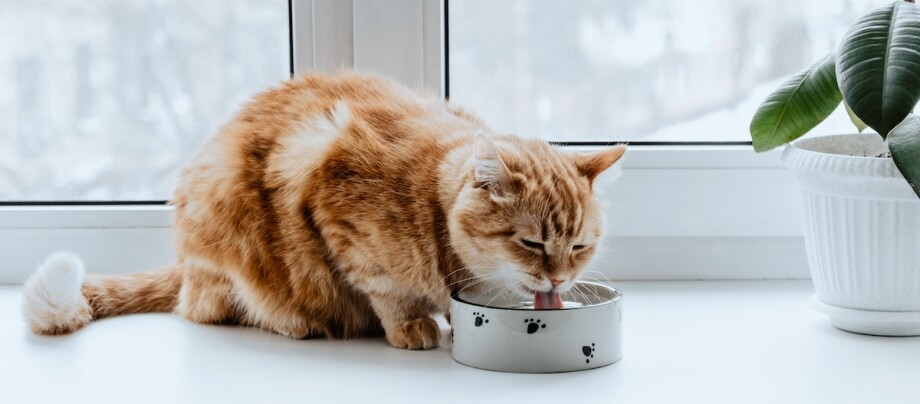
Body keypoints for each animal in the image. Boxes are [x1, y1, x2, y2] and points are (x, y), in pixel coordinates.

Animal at [19, 71, 624, 348]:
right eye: (531, 243)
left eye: (579, 247)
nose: (558, 278)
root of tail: (185, 264)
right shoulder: (342, 221)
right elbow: (387, 290)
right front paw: (411, 325)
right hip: (229, 253)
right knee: (214, 308)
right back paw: (296, 321)